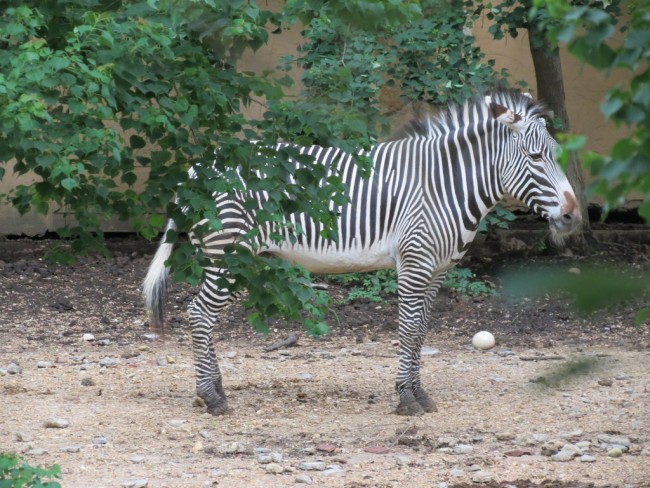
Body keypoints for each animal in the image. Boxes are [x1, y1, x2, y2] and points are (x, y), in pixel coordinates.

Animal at [144, 90, 580, 416]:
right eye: (536, 157)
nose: (573, 215)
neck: (445, 186)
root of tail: (199, 167)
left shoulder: (438, 269)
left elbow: (421, 330)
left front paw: (419, 393)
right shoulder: (415, 261)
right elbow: (408, 328)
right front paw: (406, 398)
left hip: (239, 259)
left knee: (204, 316)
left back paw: (214, 389)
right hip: (228, 253)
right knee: (200, 314)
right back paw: (211, 397)